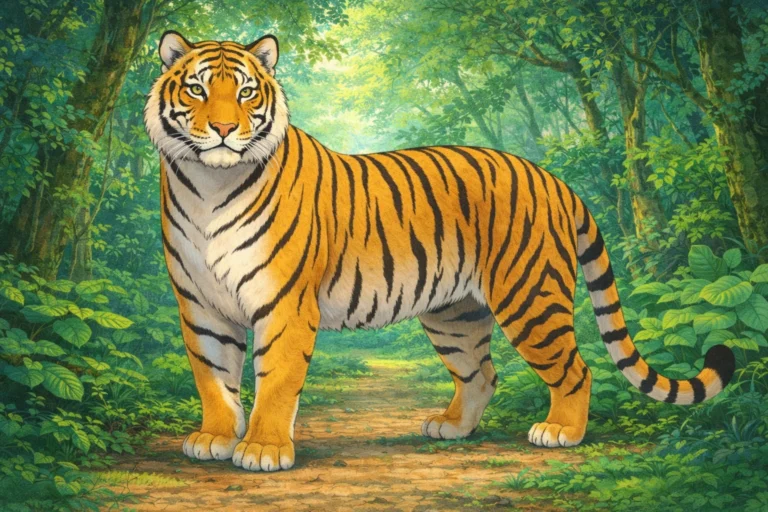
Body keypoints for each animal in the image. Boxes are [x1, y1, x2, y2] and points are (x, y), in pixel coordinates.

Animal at [143, 30, 736, 472]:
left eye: (246, 93)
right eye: (197, 90)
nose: (225, 129)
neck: (210, 185)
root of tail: (553, 178)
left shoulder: (284, 304)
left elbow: (275, 381)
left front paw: (264, 449)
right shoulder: (200, 304)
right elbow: (213, 376)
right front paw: (215, 438)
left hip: (529, 298)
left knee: (575, 369)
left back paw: (560, 431)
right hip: (455, 313)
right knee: (482, 374)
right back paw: (451, 428)